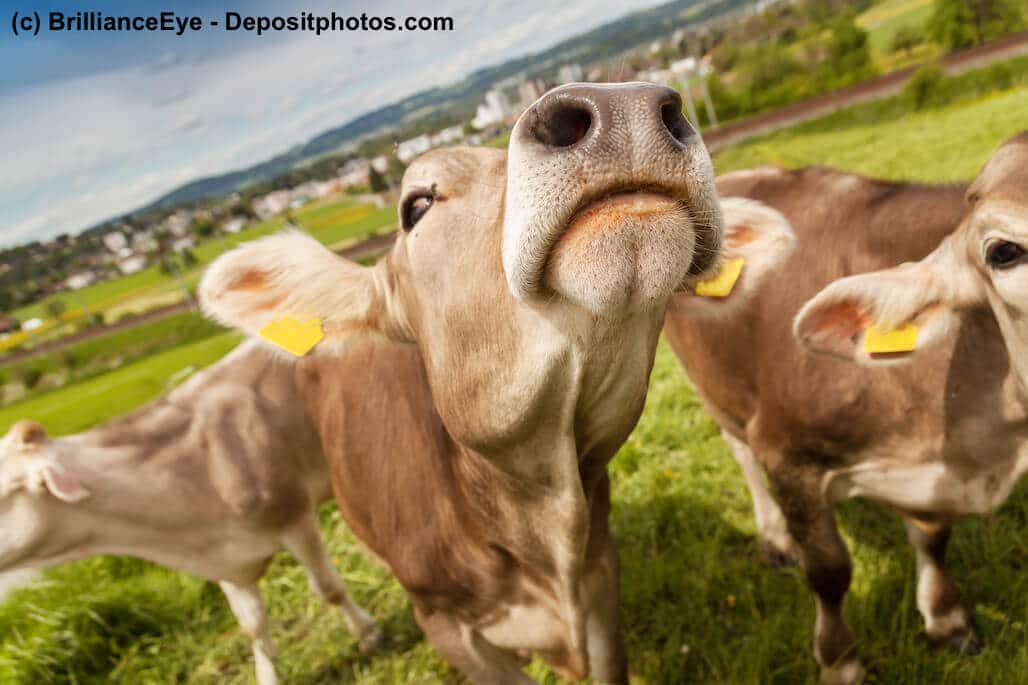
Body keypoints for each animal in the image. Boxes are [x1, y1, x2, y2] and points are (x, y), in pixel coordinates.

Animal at [0, 341, 381, 685]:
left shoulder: (295, 518)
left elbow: (328, 588)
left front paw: (367, 633)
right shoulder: (225, 556)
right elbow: (252, 624)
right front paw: (268, 675)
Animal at [665, 132, 1028, 684]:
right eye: (1005, 252)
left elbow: (933, 536)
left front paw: (947, 619)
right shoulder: (787, 456)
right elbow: (830, 571)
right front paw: (840, 661)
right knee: (738, 448)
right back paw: (776, 540)